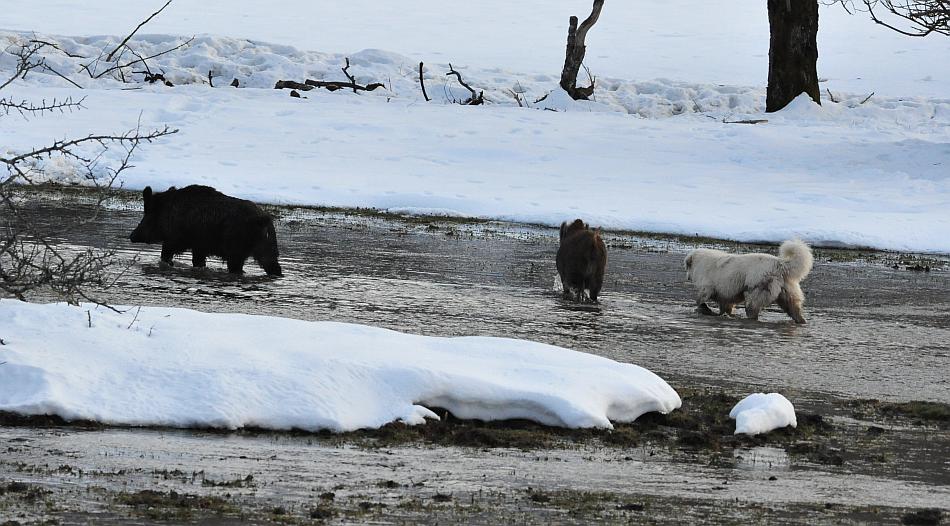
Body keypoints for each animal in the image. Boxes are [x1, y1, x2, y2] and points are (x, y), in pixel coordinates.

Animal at [688, 240, 816, 324]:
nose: (688, 277)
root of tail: (780, 264)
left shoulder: (707, 286)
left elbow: (701, 298)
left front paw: (701, 308)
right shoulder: (726, 294)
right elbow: (725, 306)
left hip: (756, 289)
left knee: (752, 308)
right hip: (786, 292)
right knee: (794, 309)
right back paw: (801, 321)